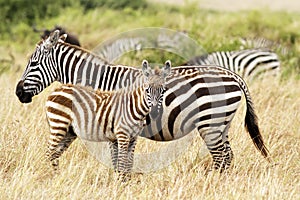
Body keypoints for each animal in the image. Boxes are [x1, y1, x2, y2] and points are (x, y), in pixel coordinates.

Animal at [15, 29, 270, 173]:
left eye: (33, 63)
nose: (18, 93)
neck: (101, 82)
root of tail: (233, 75)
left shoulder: (114, 124)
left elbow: (118, 160)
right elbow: (121, 160)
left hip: (210, 123)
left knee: (220, 157)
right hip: (221, 123)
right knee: (228, 157)